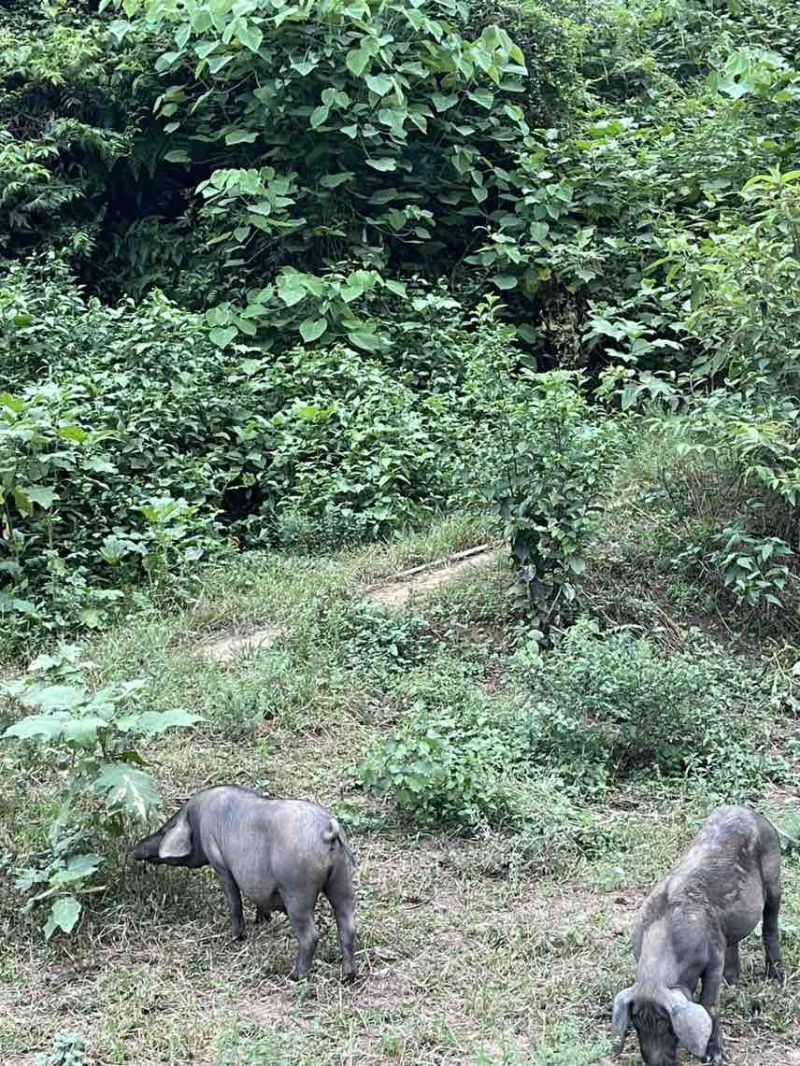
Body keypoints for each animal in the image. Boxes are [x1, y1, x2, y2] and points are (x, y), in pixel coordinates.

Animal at [614, 805, 785, 1066]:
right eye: (637, 1024)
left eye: (668, 1026)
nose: (656, 1063)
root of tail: (748, 811)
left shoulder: (713, 959)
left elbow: (709, 1004)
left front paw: (714, 1057)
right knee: (733, 940)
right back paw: (732, 982)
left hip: (774, 876)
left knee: (770, 924)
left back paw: (776, 977)